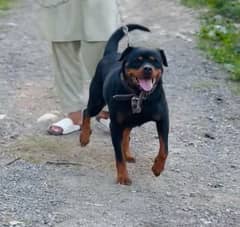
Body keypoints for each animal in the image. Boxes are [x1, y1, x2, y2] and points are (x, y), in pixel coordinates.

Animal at [80, 24, 169, 185]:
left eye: (155, 61)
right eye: (137, 60)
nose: (148, 68)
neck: (139, 96)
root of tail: (111, 54)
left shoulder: (163, 119)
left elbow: (164, 149)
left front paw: (157, 168)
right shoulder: (115, 125)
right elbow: (118, 156)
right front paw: (123, 176)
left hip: (128, 120)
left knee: (126, 134)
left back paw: (127, 153)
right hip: (97, 100)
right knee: (87, 111)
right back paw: (84, 136)